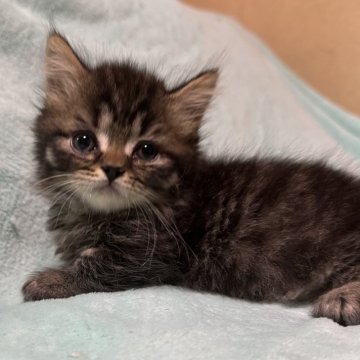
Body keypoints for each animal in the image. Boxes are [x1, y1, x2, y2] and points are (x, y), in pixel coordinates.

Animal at [22, 32, 360, 328]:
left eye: (147, 151)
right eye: (84, 141)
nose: (113, 169)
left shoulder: (151, 253)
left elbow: (97, 265)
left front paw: (49, 280)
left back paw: (342, 299)